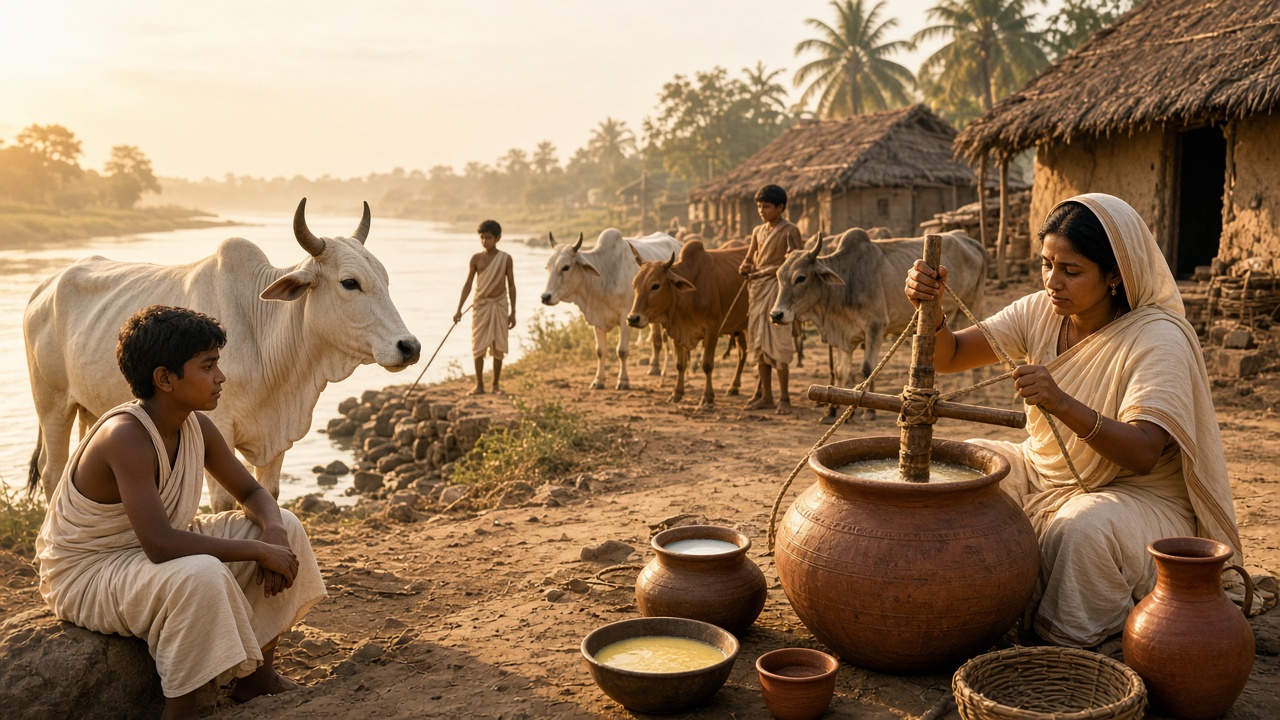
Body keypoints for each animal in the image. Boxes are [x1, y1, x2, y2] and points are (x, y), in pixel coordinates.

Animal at [24, 198, 421, 509]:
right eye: (349, 282)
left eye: (385, 280)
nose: (410, 347)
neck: (264, 333)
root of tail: (44, 287)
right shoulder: (217, 426)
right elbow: (224, 502)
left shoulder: (275, 439)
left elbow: (269, 494)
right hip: (52, 404)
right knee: (52, 471)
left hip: (90, 409)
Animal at [539, 228, 682, 390]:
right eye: (547, 267)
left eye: (566, 267)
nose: (545, 296)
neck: (605, 275)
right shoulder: (597, 320)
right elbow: (600, 351)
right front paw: (598, 381)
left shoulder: (627, 317)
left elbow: (622, 351)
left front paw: (623, 381)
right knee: (656, 340)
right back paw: (654, 368)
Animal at [627, 241, 749, 409]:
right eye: (634, 284)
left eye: (655, 285)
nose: (633, 318)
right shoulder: (677, 331)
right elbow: (680, 364)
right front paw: (676, 394)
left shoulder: (712, 330)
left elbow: (707, 365)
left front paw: (707, 397)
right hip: (740, 327)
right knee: (743, 353)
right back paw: (734, 387)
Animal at [770, 228, 987, 419]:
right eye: (779, 275)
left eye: (801, 277)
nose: (776, 315)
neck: (848, 279)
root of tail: (970, 241)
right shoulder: (845, 336)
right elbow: (840, 373)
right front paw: (831, 411)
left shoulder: (874, 327)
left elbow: (867, 369)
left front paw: (869, 411)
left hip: (973, 304)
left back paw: (974, 394)